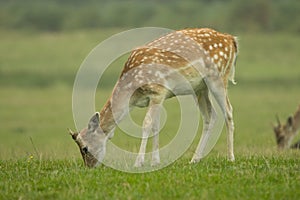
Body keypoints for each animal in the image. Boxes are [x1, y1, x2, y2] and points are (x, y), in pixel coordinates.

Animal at [68, 27, 239, 167]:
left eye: (85, 148)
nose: (89, 167)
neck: (133, 93)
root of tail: (231, 39)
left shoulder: (158, 91)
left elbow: (147, 124)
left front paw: (139, 162)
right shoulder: (155, 97)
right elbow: (156, 125)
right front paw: (155, 161)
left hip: (218, 77)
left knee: (229, 111)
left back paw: (230, 157)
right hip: (200, 88)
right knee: (211, 115)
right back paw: (194, 159)